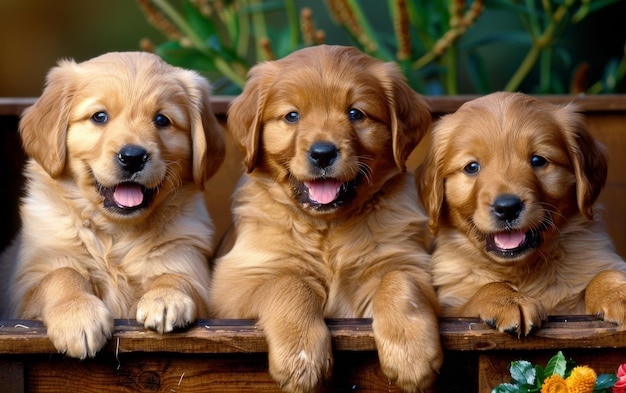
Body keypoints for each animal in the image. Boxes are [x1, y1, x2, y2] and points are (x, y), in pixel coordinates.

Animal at [0, 51, 224, 358]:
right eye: (99, 116)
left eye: (162, 120)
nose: (133, 156)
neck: (115, 232)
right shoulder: (24, 290)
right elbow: (61, 274)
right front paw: (78, 316)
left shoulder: (188, 258)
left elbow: (177, 277)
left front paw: (166, 296)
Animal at [208, 46, 438, 392]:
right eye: (292, 116)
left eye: (356, 113)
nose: (322, 153)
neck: (327, 228)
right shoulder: (233, 286)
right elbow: (288, 282)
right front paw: (301, 355)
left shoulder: (413, 264)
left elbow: (399, 281)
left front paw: (411, 352)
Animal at [414, 91, 624, 334]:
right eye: (471, 167)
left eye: (538, 160)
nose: (507, 208)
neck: (521, 271)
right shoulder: (451, 310)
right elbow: (484, 290)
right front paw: (507, 300)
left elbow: (604, 273)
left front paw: (618, 293)